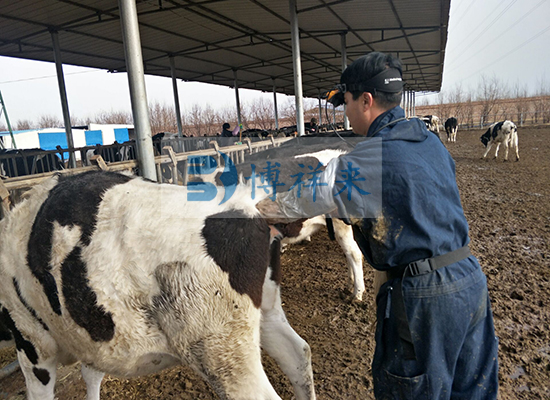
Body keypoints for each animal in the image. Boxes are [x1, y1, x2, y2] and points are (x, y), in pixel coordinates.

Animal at [0, 173, 316, 400]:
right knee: (297, 353)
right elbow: (92, 376)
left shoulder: (33, 344)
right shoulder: (90, 336)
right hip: (266, 312)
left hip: (222, 351)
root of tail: (247, 204)